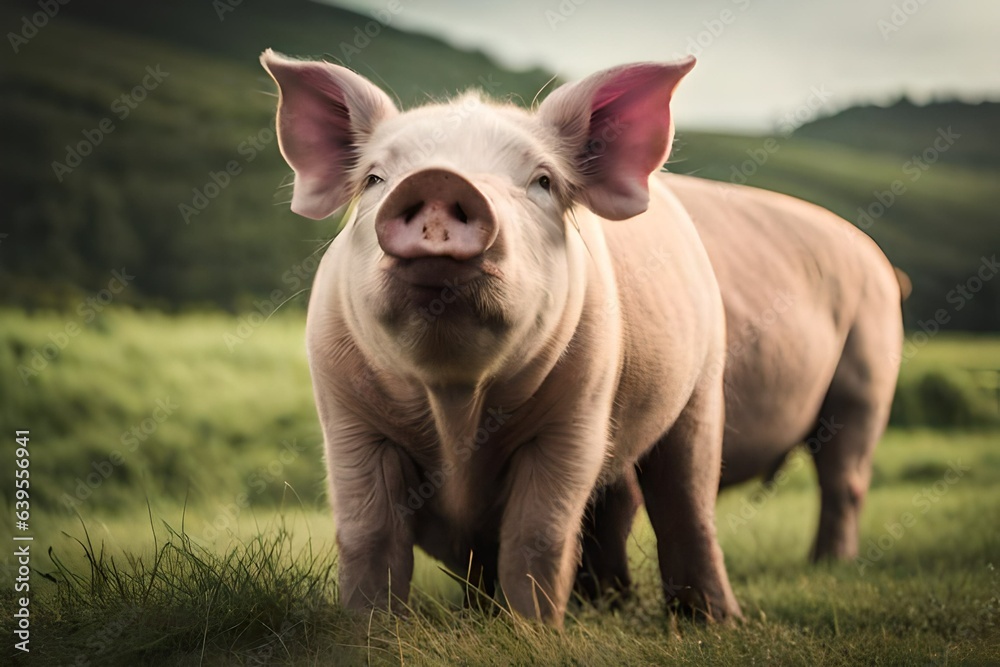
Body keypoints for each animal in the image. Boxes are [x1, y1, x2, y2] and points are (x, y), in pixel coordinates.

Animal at [260, 51, 752, 628]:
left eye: (542, 180)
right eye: (376, 177)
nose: (439, 180)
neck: (455, 400)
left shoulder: (575, 417)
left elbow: (537, 536)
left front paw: (532, 634)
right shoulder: (348, 418)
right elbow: (369, 535)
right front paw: (369, 634)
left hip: (703, 384)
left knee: (686, 501)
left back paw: (716, 622)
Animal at [572, 176, 908, 600]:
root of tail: (882, 263)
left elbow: (614, 502)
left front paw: (605, 600)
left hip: (868, 359)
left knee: (843, 472)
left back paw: (830, 566)